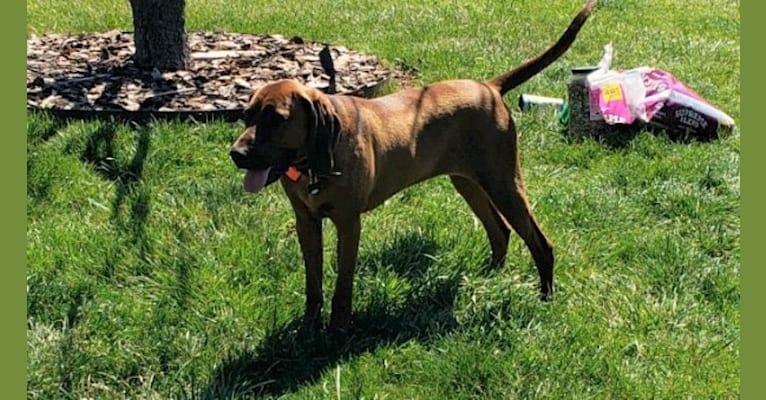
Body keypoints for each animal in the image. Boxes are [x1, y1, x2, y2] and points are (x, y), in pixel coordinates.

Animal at [230, 0, 600, 332]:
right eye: (247, 115)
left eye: (276, 119)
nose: (236, 154)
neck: (315, 162)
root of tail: (489, 87)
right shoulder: (306, 221)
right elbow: (313, 281)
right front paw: (309, 326)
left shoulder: (348, 222)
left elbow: (343, 284)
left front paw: (337, 329)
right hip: (468, 182)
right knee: (500, 230)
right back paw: (489, 276)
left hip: (503, 182)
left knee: (540, 242)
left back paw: (545, 297)